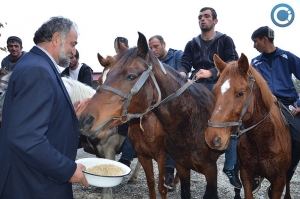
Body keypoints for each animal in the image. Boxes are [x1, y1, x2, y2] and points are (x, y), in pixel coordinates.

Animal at [79, 31, 223, 198]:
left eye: (131, 76)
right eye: (102, 79)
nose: (85, 120)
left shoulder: (162, 156)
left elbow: (161, 187)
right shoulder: (144, 156)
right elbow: (151, 184)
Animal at [204, 53, 290, 198]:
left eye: (240, 93)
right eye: (215, 91)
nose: (213, 137)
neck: (263, 139)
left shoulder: (279, 181)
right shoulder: (246, 175)